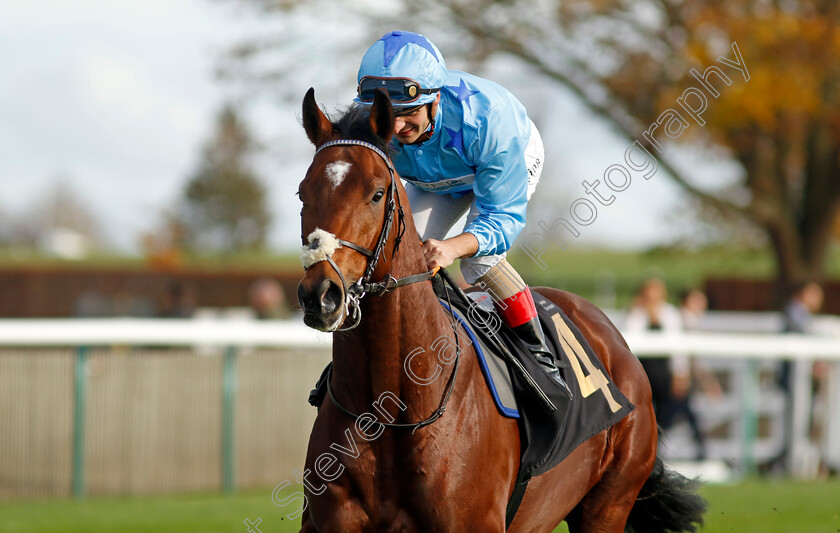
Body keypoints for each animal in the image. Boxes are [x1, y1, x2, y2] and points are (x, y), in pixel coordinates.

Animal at [296, 88, 704, 532]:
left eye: (375, 194)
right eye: (302, 193)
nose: (321, 295)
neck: (390, 410)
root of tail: (611, 334)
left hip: (610, 502)